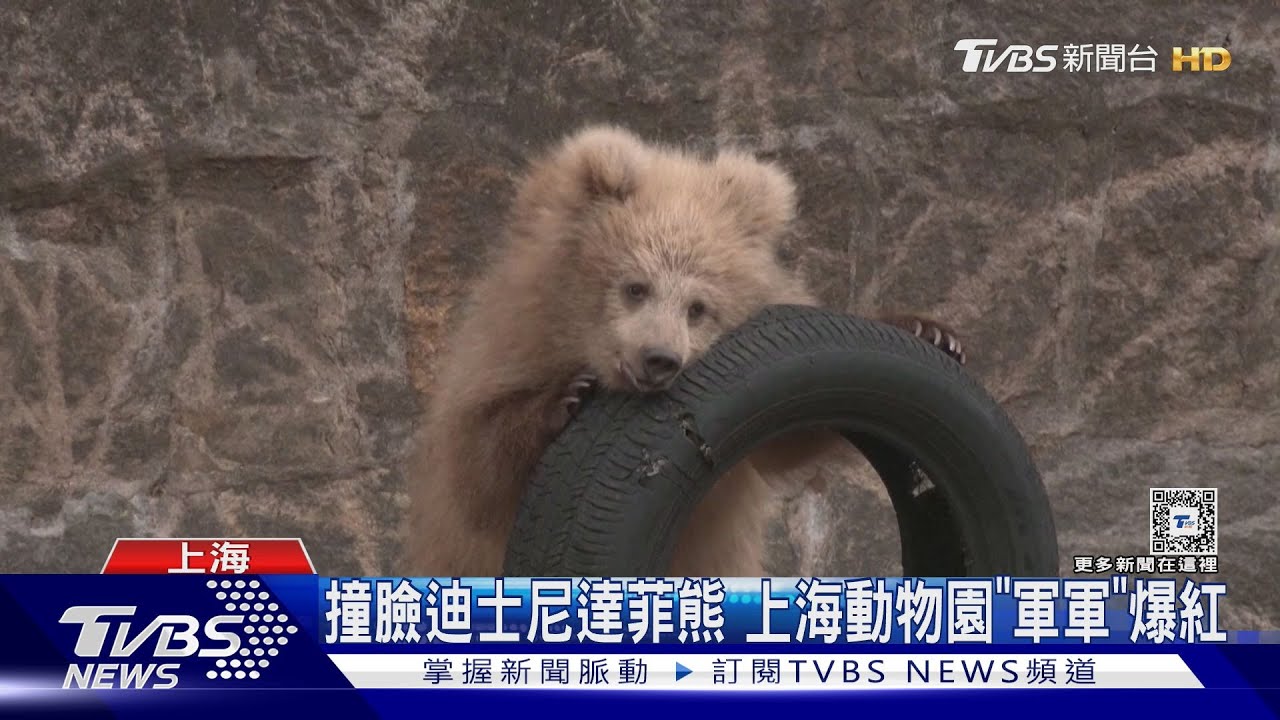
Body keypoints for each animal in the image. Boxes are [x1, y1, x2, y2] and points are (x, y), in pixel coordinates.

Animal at [404, 125, 965, 577]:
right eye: (635, 287)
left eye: (698, 307)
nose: (659, 359)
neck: (568, 337)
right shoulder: (505, 350)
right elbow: (478, 470)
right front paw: (567, 397)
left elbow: (799, 432)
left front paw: (929, 330)